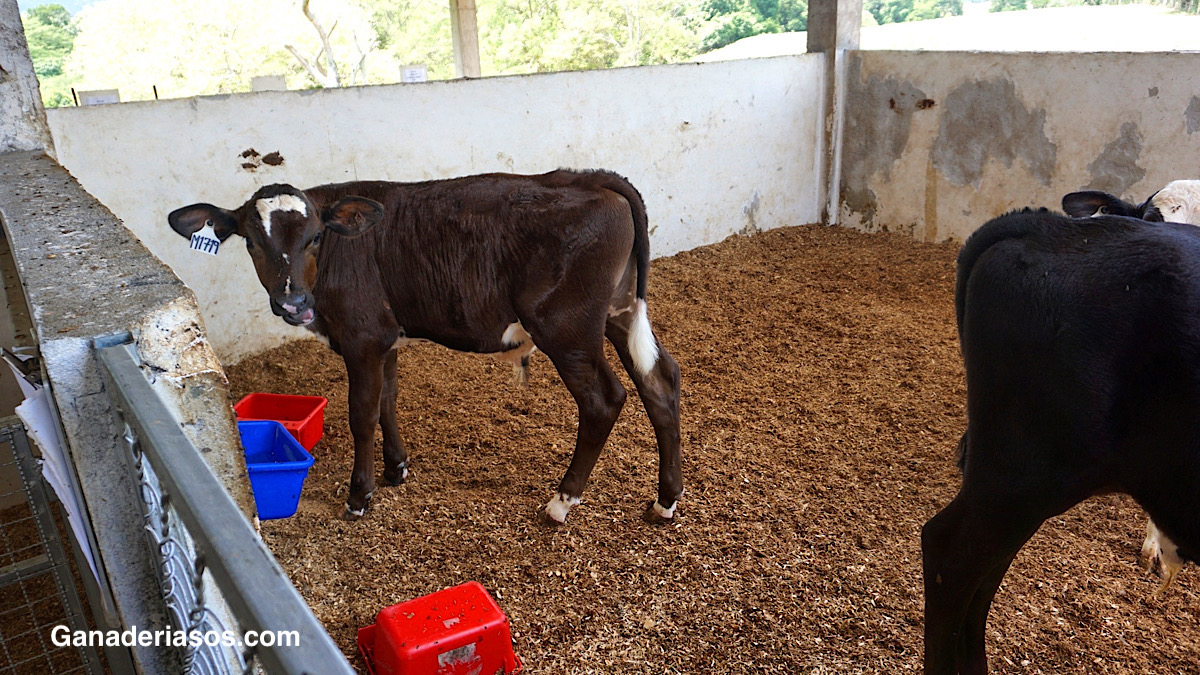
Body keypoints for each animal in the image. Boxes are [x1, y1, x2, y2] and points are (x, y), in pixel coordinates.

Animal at [166, 169, 686, 526]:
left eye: (315, 237)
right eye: (252, 243)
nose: (292, 301)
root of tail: (587, 177)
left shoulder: (361, 337)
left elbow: (362, 413)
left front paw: (360, 495)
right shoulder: (385, 338)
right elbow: (388, 401)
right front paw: (397, 468)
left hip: (566, 327)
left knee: (603, 400)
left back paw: (561, 502)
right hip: (620, 312)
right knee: (660, 381)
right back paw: (665, 500)